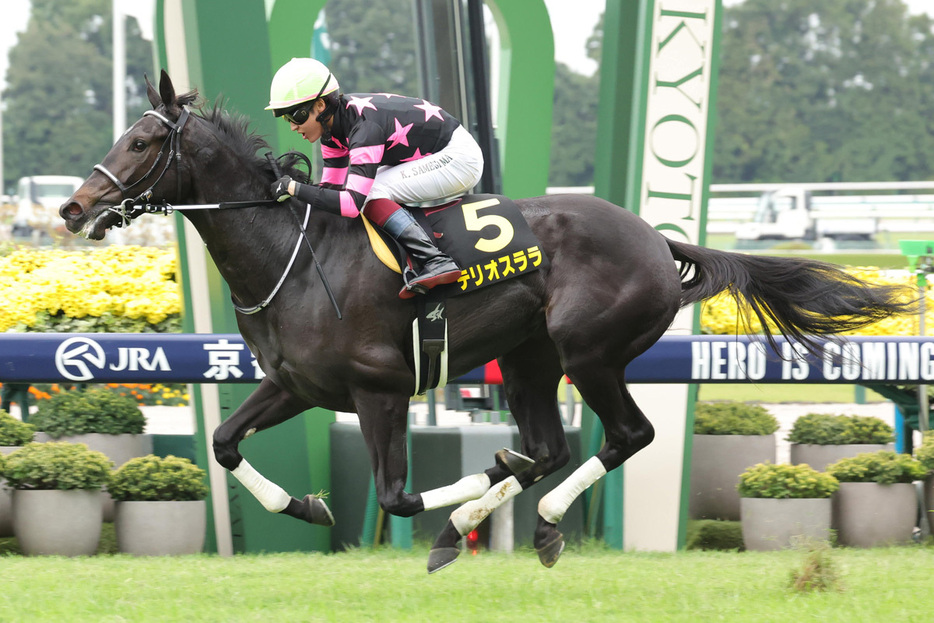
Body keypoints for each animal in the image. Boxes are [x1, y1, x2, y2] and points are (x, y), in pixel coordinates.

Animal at [60, 70, 916, 572]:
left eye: (143, 139)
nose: (73, 208)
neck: (294, 256)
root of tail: (655, 236)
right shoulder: (296, 385)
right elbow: (222, 441)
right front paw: (306, 505)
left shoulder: (379, 390)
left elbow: (400, 496)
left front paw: (464, 491)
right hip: (535, 357)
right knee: (551, 446)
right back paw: (502, 509)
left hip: (589, 350)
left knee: (624, 436)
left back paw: (533, 517)